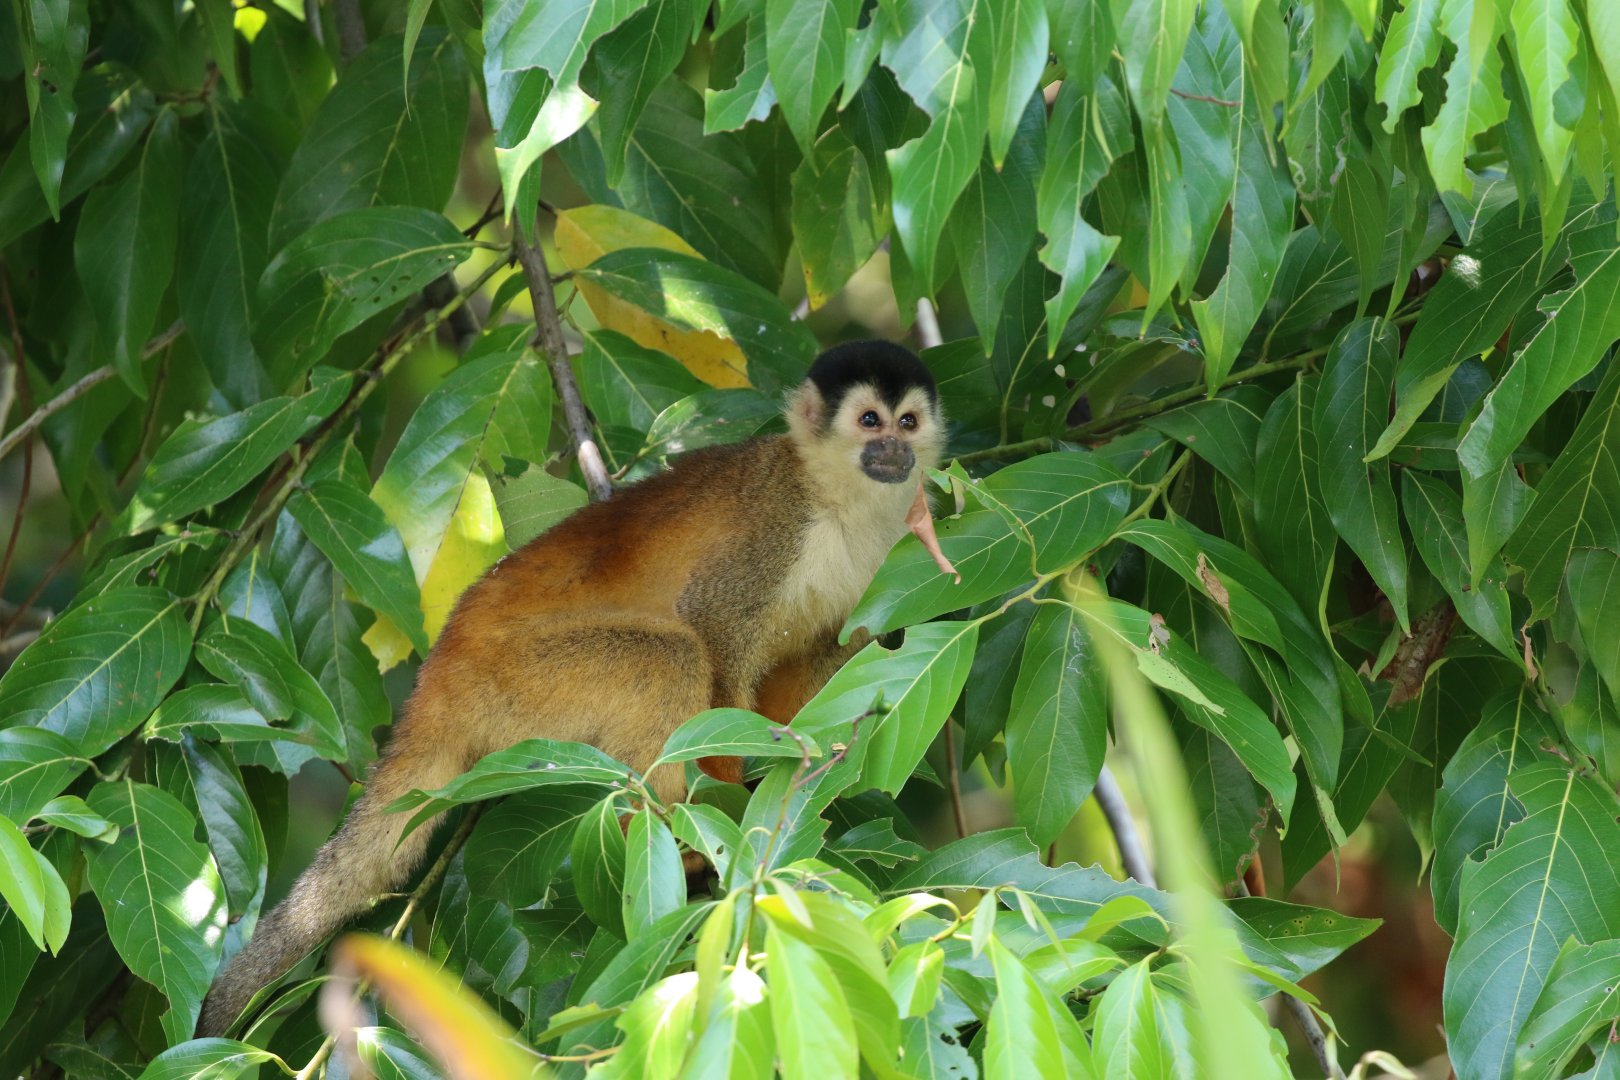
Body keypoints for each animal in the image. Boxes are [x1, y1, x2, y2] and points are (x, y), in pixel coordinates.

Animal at [196, 340, 955, 1036]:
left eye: (908, 422)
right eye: (869, 421)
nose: (894, 451)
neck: (838, 501)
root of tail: (441, 673)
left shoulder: (882, 569)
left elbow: (824, 660)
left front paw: (803, 776)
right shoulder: (774, 528)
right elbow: (714, 635)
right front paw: (735, 800)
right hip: (518, 681)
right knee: (670, 656)